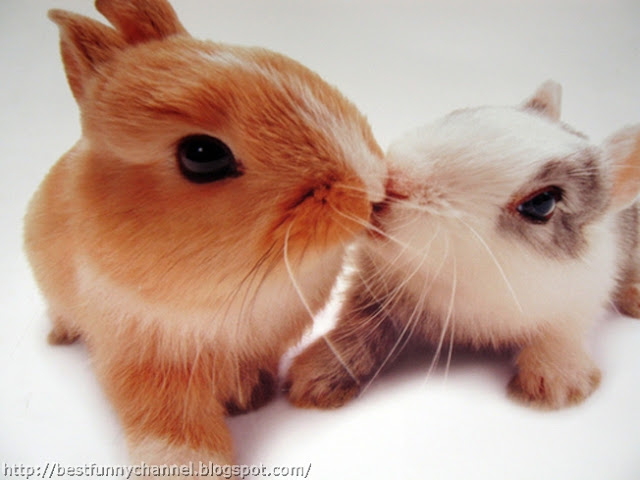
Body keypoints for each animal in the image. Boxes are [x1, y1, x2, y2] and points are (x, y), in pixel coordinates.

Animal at [23, 0, 384, 472]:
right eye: (202, 155)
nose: (369, 190)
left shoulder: (260, 344)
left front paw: (251, 398)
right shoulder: (145, 362)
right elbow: (173, 423)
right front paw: (191, 468)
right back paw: (59, 336)